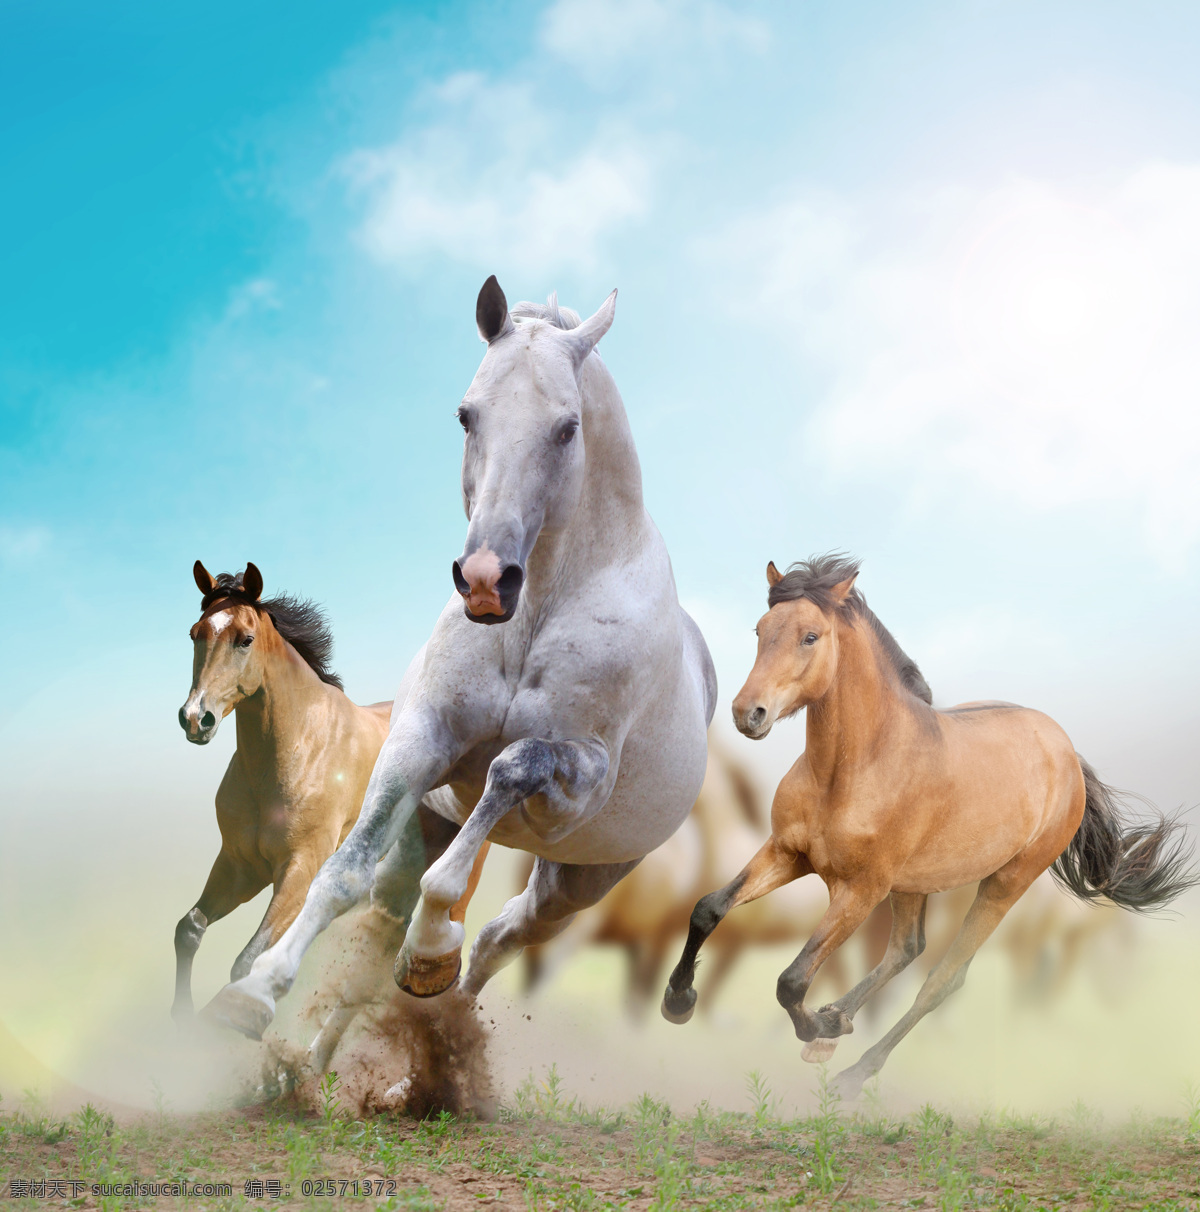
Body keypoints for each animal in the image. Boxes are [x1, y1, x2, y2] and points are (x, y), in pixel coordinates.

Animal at [175, 561, 488, 1069]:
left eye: (245, 638)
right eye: (195, 633)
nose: (195, 718)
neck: (297, 748)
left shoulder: (299, 870)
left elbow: (247, 959)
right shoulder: (241, 866)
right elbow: (190, 929)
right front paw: (179, 1023)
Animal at [202, 278, 716, 1043]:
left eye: (567, 428)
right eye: (467, 416)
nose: (484, 580)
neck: (535, 614)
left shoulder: (576, 780)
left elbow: (508, 774)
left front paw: (431, 947)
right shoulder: (421, 739)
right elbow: (344, 873)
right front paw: (254, 993)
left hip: (578, 881)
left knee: (503, 936)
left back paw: (436, 997)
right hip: (432, 823)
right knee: (383, 928)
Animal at [662, 553, 1194, 1097]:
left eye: (810, 636)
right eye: (761, 629)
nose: (748, 713)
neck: (852, 769)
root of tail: (1066, 754)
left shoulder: (860, 890)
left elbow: (792, 979)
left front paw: (817, 1025)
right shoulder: (788, 854)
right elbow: (708, 909)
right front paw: (678, 1002)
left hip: (1003, 885)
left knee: (943, 978)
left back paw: (852, 1070)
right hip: (914, 884)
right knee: (906, 949)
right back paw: (837, 1025)